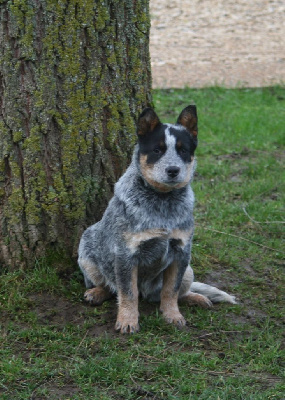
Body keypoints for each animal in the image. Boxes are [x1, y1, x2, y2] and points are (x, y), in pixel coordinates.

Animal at [77, 104, 235, 332]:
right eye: (157, 150)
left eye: (183, 150)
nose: (173, 170)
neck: (162, 203)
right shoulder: (126, 253)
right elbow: (128, 292)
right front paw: (127, 321)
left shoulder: (181, 252)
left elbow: (171, 290)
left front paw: (172, 315)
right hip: (86, 252)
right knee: (109, 285)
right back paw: (96, 293)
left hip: (189, 270)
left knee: (178, 292)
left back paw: (196, 298)